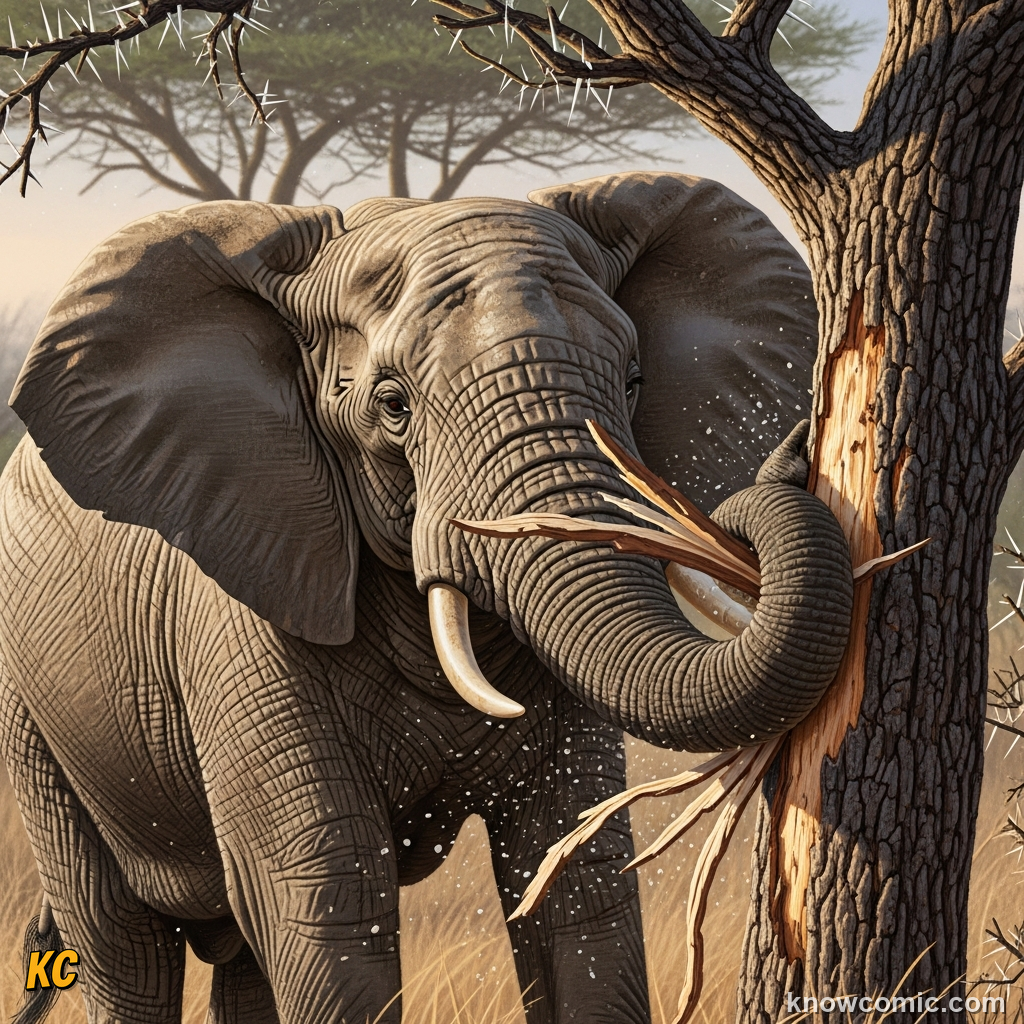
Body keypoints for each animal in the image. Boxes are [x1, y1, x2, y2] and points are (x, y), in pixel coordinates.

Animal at [0, 171, 853, 1024]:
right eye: (393, 406)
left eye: (635, 381)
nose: (798, 450)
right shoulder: (243, 597)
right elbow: (330, 899)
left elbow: (577, 887)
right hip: (36, 718)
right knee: (123, 945)